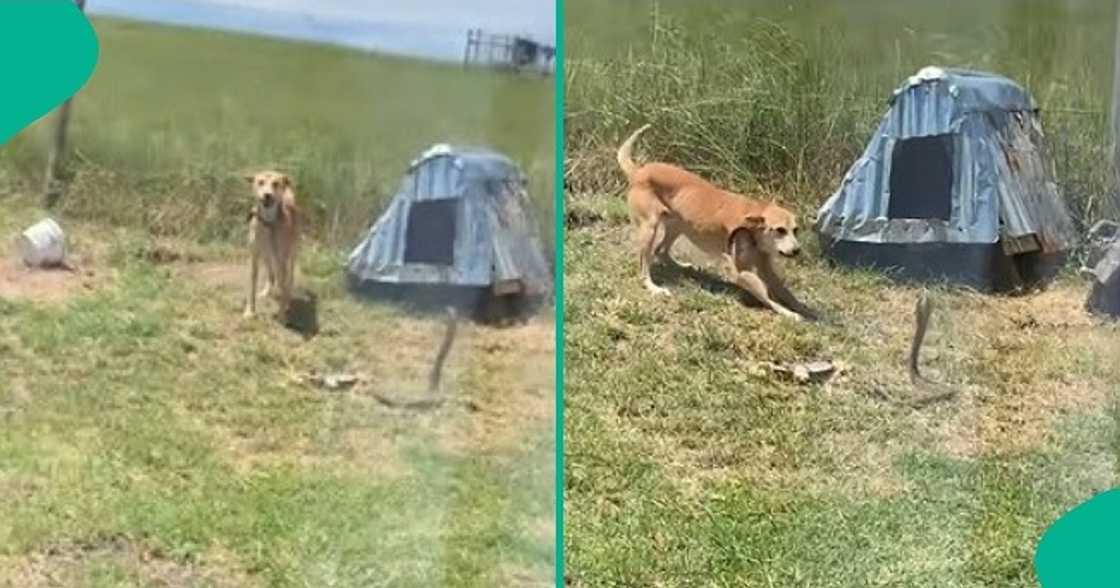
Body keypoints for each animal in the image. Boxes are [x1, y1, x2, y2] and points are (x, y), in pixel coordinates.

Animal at [243, 169, 300, 320]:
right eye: (260, 182)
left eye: (275, 183)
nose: (267, 195)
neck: (268, 224)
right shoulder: (254, 256)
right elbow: (251, 285)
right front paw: (250, 311)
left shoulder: (281, 260)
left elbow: (283, 286)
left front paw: (282, 315)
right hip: (266, 255)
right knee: (271, 274)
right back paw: (267, 292)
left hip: (291, 254)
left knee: (289, 279)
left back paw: (288, 299)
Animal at [618, 124, 810, 322]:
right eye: (780, 230)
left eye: (796, 230)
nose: (797, 250)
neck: (753, 227)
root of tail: (639, 171)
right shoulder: (740, 272)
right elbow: (768, 297)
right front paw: (788, 313)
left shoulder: (767, 269)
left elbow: (787, 293)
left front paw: (805, 309)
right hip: (650, 228)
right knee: (644, 265)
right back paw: (653, 287)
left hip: (679, 225)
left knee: (660, 251)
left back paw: (682, 266)